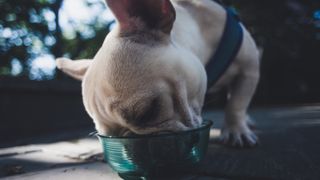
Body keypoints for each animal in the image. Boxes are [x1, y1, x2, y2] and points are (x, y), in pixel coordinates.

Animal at [55, 0, 260, 147]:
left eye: (147, 112)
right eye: (107, 135)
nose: (128, 139)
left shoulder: (248, 69)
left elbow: (236, 104)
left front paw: (236, 131)